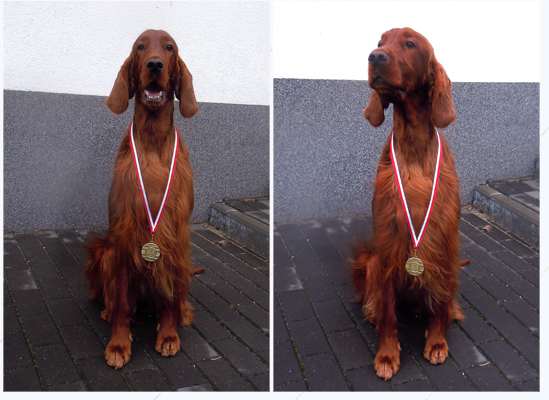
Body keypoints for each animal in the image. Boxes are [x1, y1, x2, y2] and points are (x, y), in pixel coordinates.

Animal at [86, 29, 202, 369]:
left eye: (169, 47)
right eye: (140, 47)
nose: (154, 64)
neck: (152, 138)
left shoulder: (175, 235)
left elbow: (171, 299)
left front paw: (168, 335)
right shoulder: (123, 234)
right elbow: (123, 303)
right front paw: (119, 344)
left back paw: (181, 315)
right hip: (104, 253)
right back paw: (108, 311)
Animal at [351, 27, 466, 381]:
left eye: (410, 44)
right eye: (380, 43)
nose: (374, 57)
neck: (414, 145)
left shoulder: (443, 240)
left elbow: (440, 304)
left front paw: (437, 341)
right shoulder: (389, 243)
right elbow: (389, 313)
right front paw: (388, 355)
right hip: (374, 262)